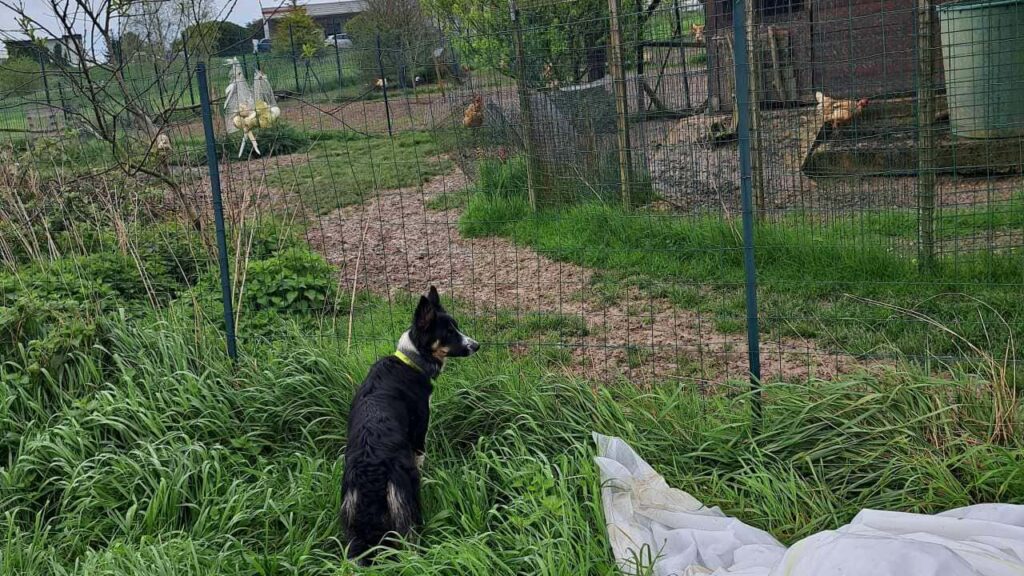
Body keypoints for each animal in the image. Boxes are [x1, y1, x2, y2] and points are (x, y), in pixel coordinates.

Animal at [339, 284, 475, 561]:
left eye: (456, 327)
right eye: (448, 332)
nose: (476, 345)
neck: (411, 361)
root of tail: (371, 468)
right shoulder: (419, 434)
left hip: (353, 521)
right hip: (405, 509)